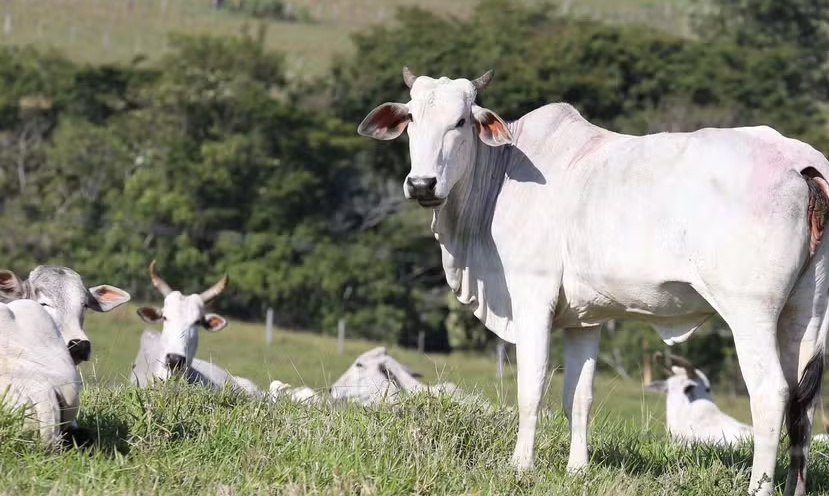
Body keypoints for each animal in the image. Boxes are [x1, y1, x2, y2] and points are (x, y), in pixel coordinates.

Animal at [357, 67, 829, 496]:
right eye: (412, 117)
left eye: (459, 122)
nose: (422, 183)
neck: (501, 174)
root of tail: (799, 162)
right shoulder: (586, 320)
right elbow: (577, 396)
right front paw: (577, 470)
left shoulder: (532, 300)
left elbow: (532, 387)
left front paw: (520, 466)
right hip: (804, 314)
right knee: (802, 404)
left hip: (751, 312)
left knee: (771, 393)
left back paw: (758, 487)